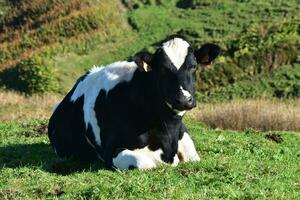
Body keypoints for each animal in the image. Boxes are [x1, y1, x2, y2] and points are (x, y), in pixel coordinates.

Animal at [47, 35, 220, 170]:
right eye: (162, 70)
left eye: (194, 66)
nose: (184, 99)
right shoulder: (111, 152)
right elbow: (145, 163)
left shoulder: (189, 149)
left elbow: (193, 158)